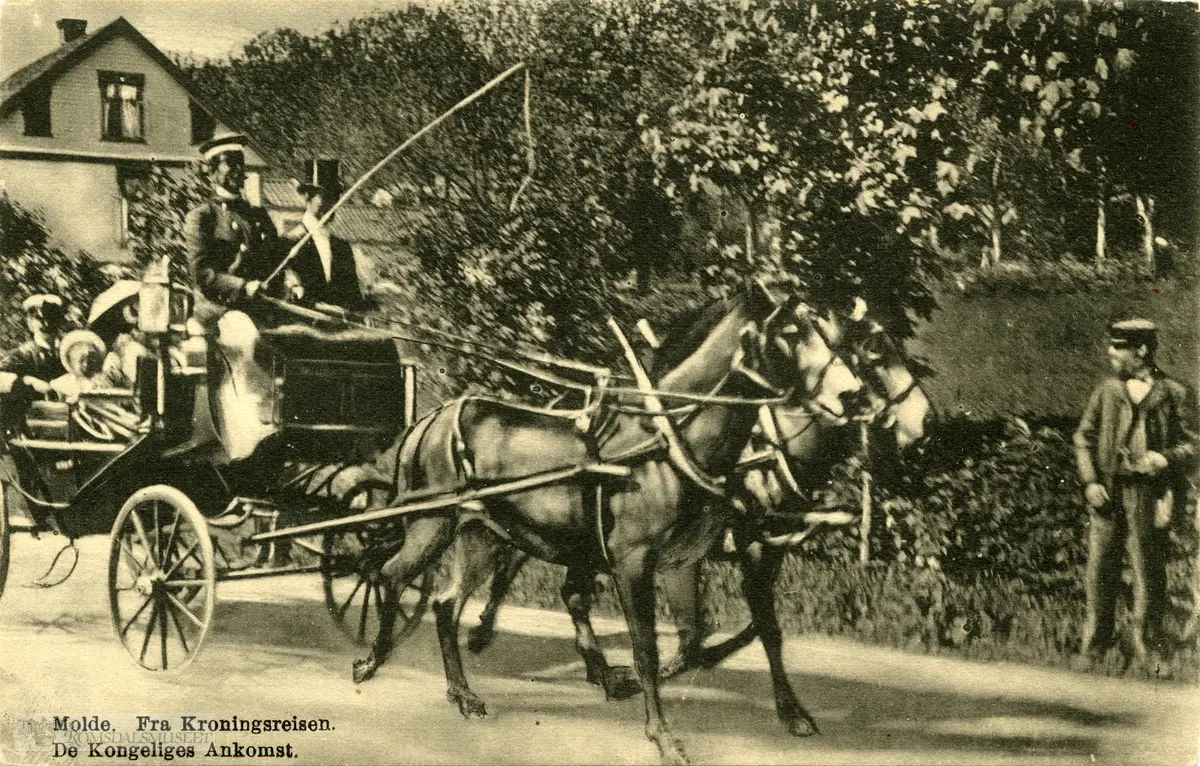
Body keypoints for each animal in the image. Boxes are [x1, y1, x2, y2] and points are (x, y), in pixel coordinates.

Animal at [350, 285, 864, 763]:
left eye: (838, 336)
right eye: (790, 332)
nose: (852, 394)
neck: (666, 446)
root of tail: (429, 420)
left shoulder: (684, 562)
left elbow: (705, 637)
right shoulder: (634, 563)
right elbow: (648, 650)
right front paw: (663, 737)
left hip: (483, 536)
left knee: (445, 603)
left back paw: (463, 694)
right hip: (432, 523)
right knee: (390, 575)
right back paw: (372, 660)